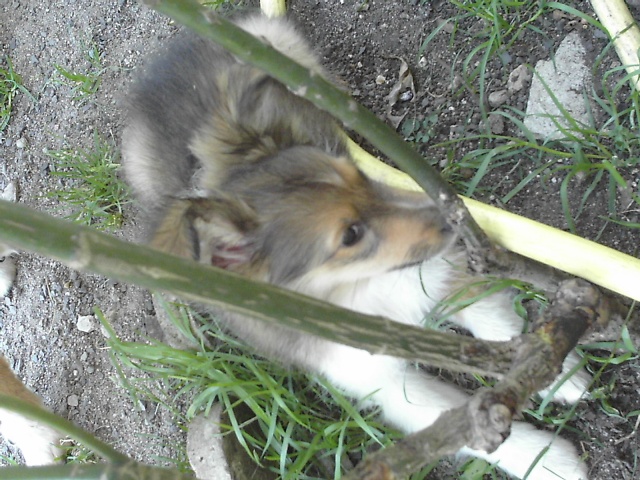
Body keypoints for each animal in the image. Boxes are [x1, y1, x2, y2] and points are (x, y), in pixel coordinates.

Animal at [120, 13, 592, 478]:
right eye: (350, 235)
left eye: (361, 179)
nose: (456, 220)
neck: (362, 288)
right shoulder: (376, 377)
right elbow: (457, 426)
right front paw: (549, 461)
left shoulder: (439, 272)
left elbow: (495, 321)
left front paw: (560, 374)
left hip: (273, 41)